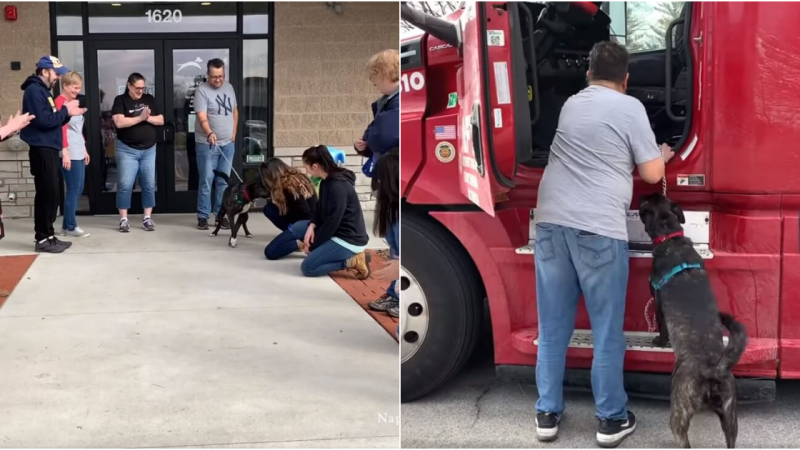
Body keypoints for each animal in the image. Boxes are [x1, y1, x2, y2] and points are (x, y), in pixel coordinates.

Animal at [640, 192, 748, 446]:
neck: (670, 235)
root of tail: (713, 369)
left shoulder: (657, 304)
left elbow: (662, 327)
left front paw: (659, 342)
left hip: (678, 414)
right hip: (731, 417)